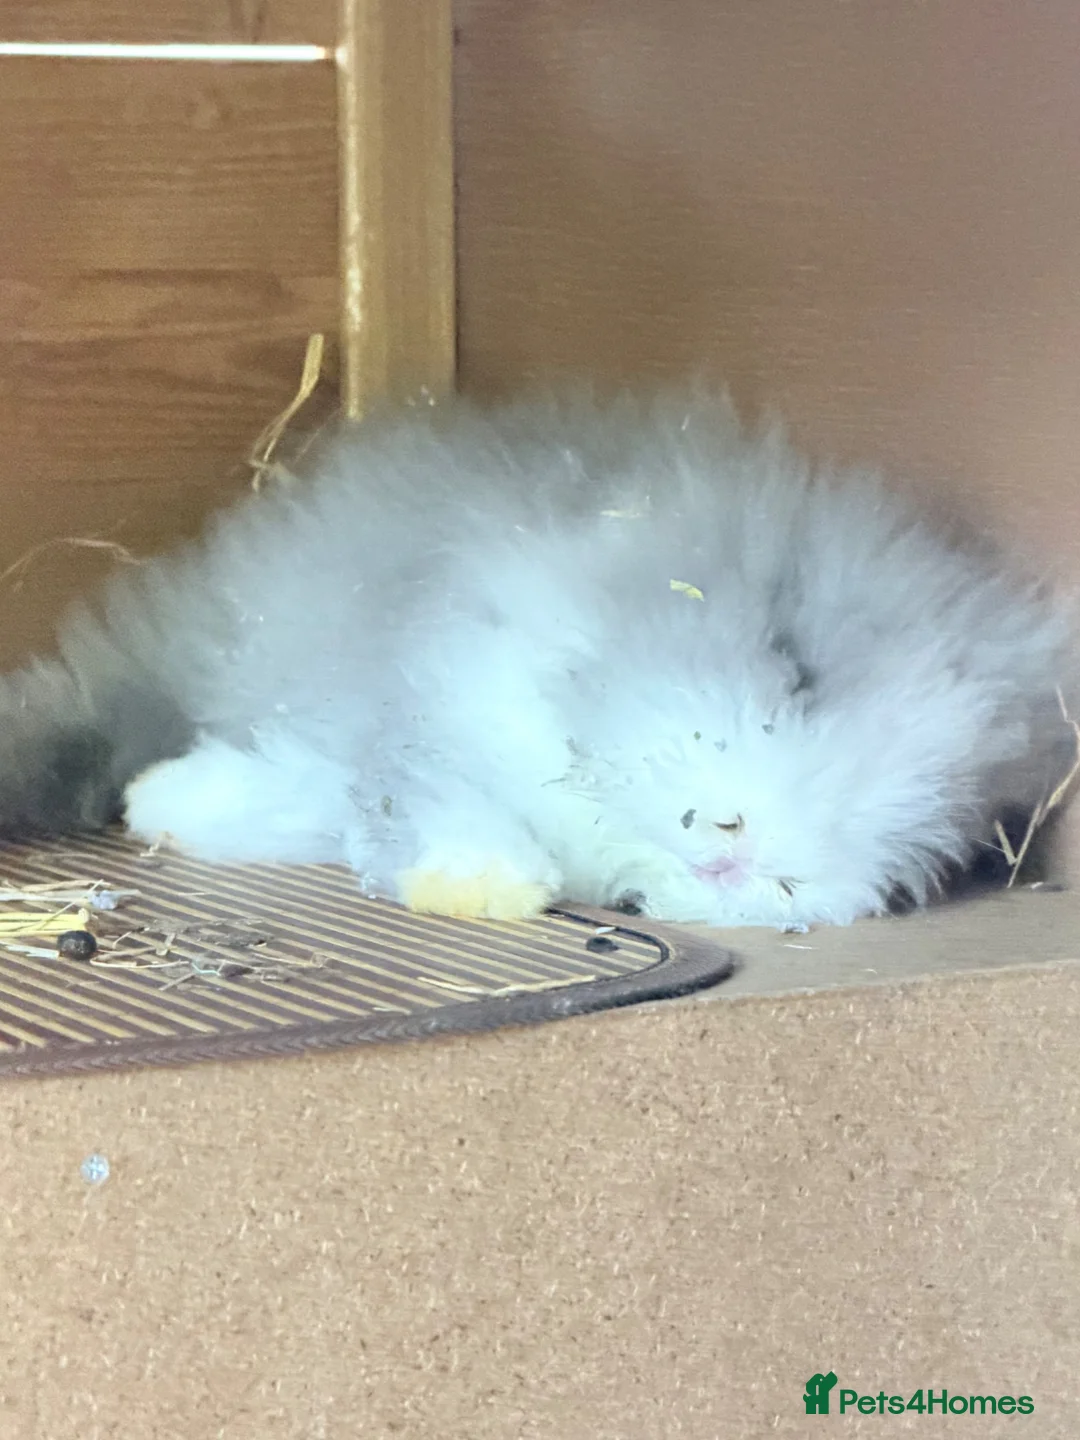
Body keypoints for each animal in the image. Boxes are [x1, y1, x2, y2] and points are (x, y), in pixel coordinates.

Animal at [0, 388, 1071, 929]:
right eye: (793, 661)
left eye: (956, 830)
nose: (739, 850)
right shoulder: (442, 705)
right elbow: (428, 804)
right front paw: (491, 885)